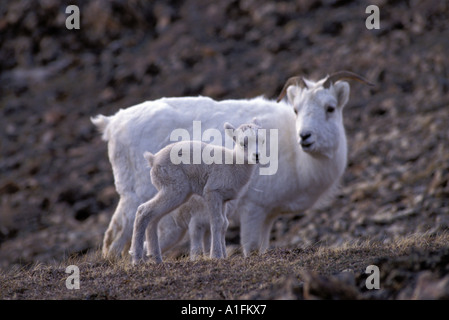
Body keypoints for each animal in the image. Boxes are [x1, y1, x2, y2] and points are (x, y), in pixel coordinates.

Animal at [129, 120, 262, 264]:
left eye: (262, 140)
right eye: (243, 143)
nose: (257, 156)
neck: (234, 165)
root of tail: (153, 160)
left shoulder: (223, 200)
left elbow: (224, 225)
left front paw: (224, 255)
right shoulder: (212, 192)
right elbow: (217, 223)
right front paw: (216, 255)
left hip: (174, 194)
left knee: (153, 217)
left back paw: (156, 259)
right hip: (174, 190)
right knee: (144, 210)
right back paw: (137, 259)